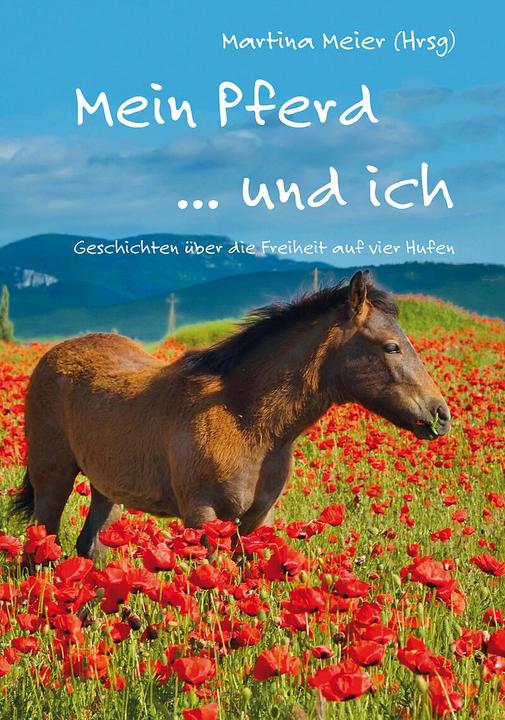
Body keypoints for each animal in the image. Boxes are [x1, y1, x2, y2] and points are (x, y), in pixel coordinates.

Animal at [13, 271, 451, 558]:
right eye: (391, 346)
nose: (441, 414)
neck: (246, 423)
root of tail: (53, 355)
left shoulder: (257, 521)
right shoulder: (202, 517)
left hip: (108, 490)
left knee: (89, 548)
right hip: (53, 479)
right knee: (42, 549)